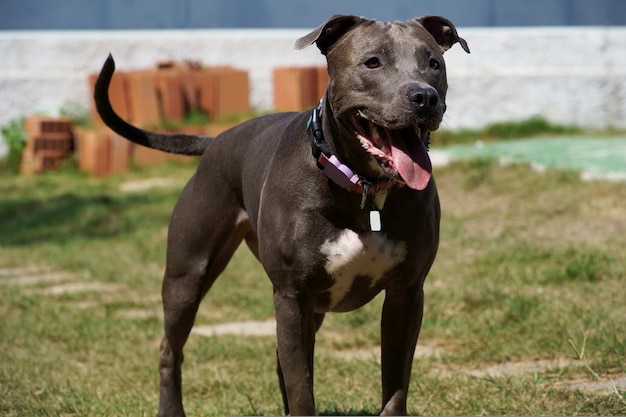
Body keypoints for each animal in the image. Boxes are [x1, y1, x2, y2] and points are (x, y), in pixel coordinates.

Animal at [94, 13, 468, 416]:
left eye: (433, 63)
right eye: (372, 62)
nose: (424, 96)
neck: (365, 190)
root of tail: (217, 140)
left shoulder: (406, 294)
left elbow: (395, 383)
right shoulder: (292, 296)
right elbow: (301, 386)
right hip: (187, 277)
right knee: (170, 348)